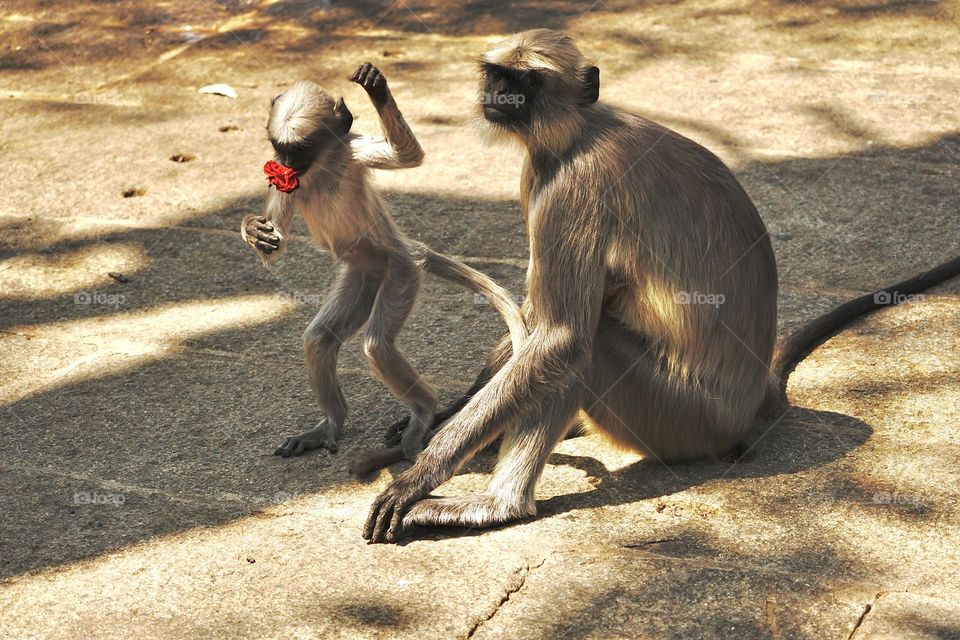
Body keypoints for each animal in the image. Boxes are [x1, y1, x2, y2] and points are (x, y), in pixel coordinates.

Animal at [241, 63, 527, 466]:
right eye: (279, 149)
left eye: (301, 149)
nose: (287, 164)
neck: (320, 169)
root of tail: (401, 249)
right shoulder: (285, 180)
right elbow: (274, 246)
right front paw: (253, 230)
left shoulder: (351, 151)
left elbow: (410, 156)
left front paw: (375, 88)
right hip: (362, 274)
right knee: (319, 339)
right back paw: (331, 424)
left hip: (399, 270)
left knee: (376, 345)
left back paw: (423, 413)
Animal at [361, 29, 960, 543]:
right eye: (497, 75)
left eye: (527, 82)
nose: (500, 97)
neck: (580, 130)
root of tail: (755, 397)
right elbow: (536, 321)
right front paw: (440, 416)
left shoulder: (573, 185)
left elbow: (560, 335)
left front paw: (421, 474)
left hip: (685, 418)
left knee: (589, 343)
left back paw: (499, 505)